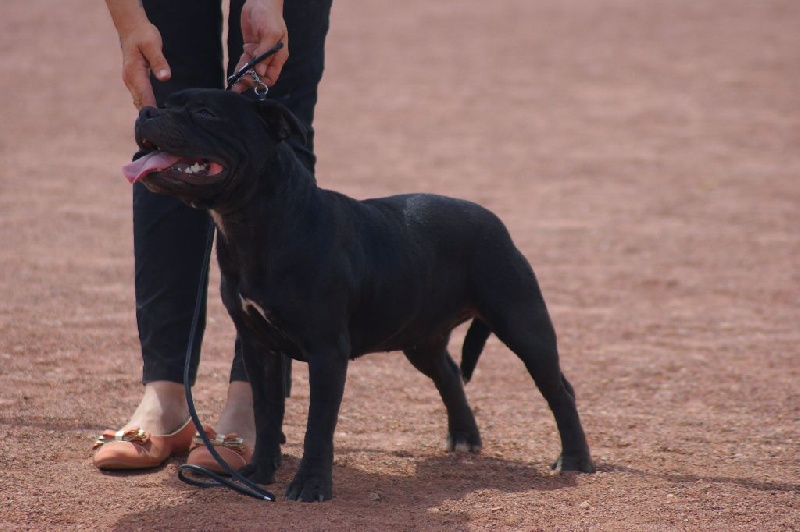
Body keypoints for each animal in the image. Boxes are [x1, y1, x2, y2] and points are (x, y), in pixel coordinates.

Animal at [125, 89, 592, 500]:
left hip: (522, 321)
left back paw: (574, 460)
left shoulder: (326, 351)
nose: (147, 111)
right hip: (421, 337)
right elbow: (267, 412)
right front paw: (257, 473)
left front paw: (311, 487)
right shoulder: (258, 347)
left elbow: (318, 425)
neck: (256, 222)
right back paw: (463, 438)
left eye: (205, 112)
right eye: (166, 102)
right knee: (449, 374)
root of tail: (492, 218)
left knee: (559, 389)